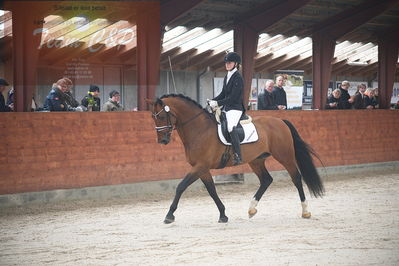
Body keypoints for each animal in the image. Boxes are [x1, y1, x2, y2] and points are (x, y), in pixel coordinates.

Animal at [147, 94, 324, 223]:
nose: (162, 141)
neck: (199, 130)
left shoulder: (200, 166)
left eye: (161, 116)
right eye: (153, 117)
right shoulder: (202, 168)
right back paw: (251, 209)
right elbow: (212, 190)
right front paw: (223, 215)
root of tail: (280, 121)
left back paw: (305, 211)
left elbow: (181, 186)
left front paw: (169, 215)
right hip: (256, 160)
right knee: (266, 180)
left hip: (285, 156)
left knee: (296, 178)